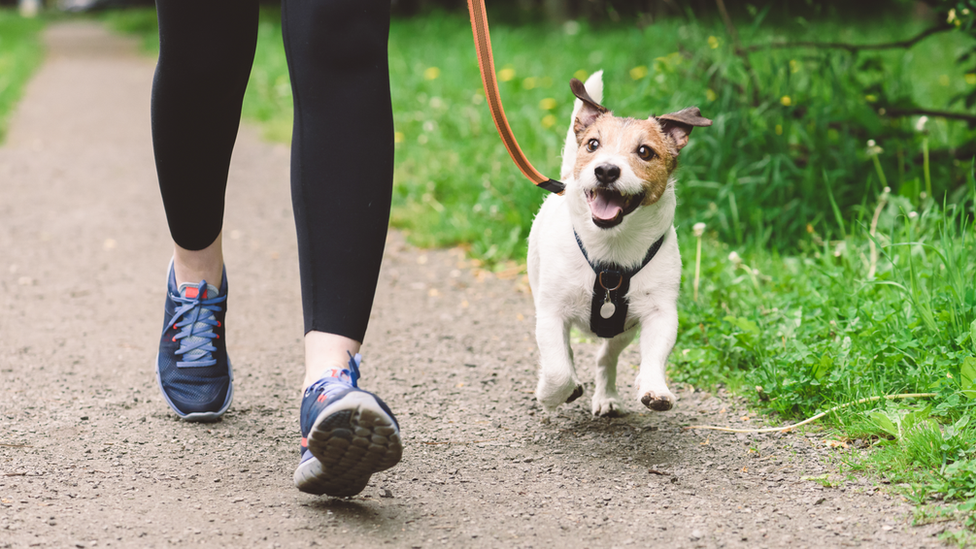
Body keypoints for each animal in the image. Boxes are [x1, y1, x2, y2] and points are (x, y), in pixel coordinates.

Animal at [528, 71, 712, 416]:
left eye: (645, 152)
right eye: (593, 144)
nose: (606, 170)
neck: (611, 251)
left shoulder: (659, 313)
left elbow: (654, 355)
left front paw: (655, 388)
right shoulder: (550, 312)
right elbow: (558, 369)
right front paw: (551, 394)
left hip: (621, 331)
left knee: (606, 357)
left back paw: (607, 396)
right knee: (565, 354)